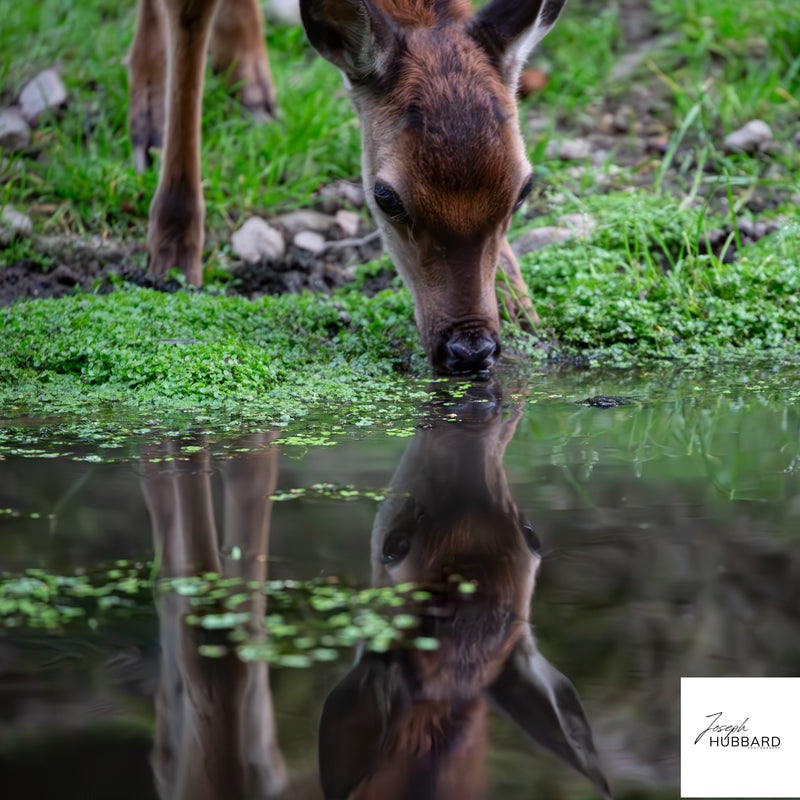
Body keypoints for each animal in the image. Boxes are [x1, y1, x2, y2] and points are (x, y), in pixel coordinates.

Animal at [128, 0, 567, 374]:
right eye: (386, 197)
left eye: (523, 189)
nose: (471, 350)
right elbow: (189, 16)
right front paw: (173, 248)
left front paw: (517, 302)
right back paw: (149, 118)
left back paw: (251, 87)